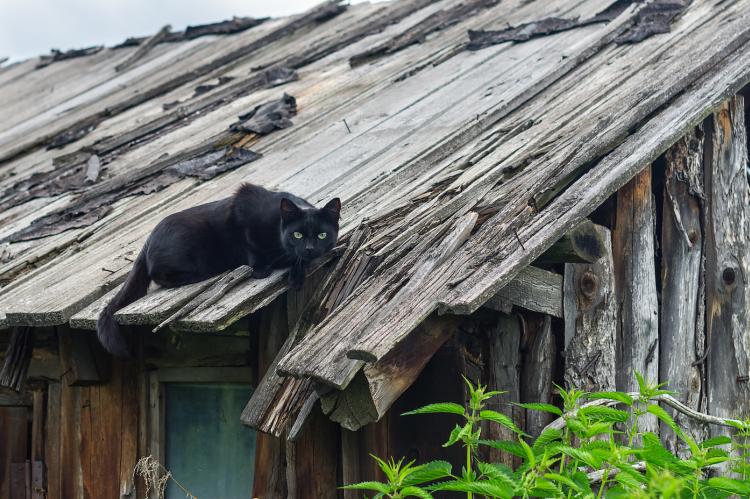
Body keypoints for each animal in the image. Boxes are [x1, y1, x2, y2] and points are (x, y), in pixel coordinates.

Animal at [96, 184, 340, 360]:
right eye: (297, 235)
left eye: (321, 235)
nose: (309, 248)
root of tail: (147, 240)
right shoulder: (242, 214)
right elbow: (252, 249)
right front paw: (263, 268)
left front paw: (297, 274)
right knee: (160, 276)